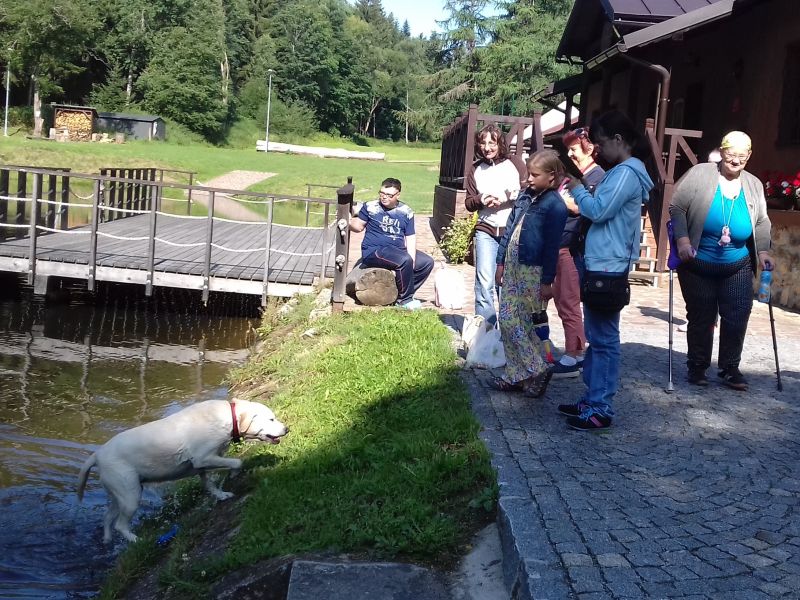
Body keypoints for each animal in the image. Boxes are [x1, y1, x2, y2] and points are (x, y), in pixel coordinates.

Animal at [77, 398, 288, 543]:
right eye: (271, 419)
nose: (287, 429)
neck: (227, 418)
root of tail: (97, 455)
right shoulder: (203, 457)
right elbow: (237, 462)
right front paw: (234, 474)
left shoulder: (202, 464)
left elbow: (209, 483)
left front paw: (220, 495)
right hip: (130, 494)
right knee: (120, 525)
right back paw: (135, 540)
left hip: (120, 493)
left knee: (107, 518)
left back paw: (107, 540)